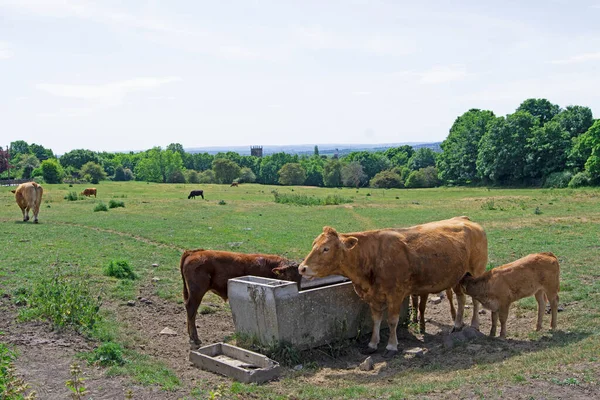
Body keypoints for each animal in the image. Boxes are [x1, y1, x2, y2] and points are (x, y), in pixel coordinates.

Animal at [298, 217, 488, 358]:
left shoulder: (395, 294)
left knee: (474, 299)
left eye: (326, 248)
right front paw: (372, 344)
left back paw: (474, 325)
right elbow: (375, 320)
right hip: (458, 276)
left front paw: (391, 346)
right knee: (461, 298)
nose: (302, 268)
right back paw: (457, 325)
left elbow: (391, 321)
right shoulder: (374, 297)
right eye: (313, 244)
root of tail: (466, 220)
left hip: (476, 271)